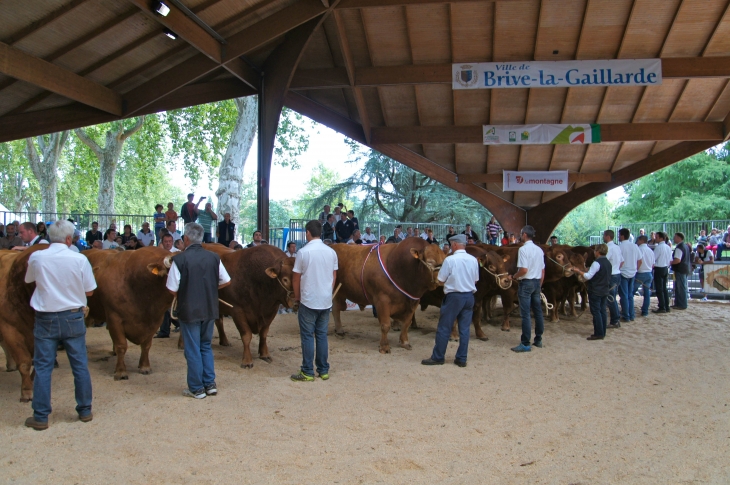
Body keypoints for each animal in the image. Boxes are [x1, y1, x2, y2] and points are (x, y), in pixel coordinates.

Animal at [83, 248, 173, 380]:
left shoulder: (156, 320)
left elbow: (146, 345)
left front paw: (144, 366)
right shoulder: (114, 318)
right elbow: (121, 345)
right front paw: (121, 372)